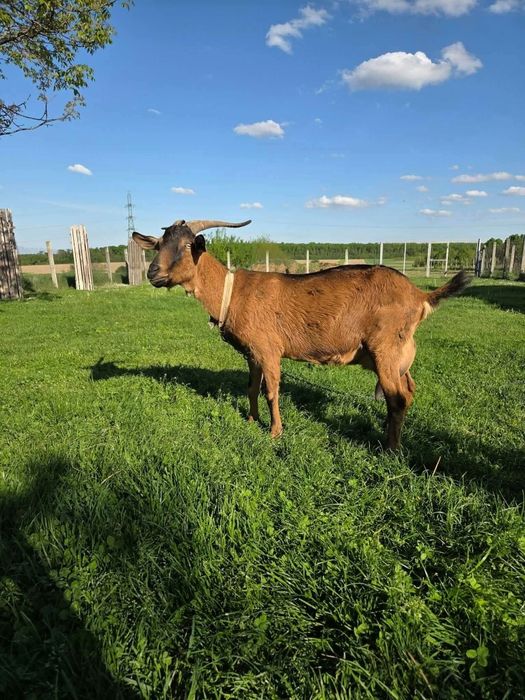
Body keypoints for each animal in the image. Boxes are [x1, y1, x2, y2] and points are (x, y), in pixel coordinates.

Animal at [133, 219, 470, 449]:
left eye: (187, 247)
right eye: (159, 244)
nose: (152, 273)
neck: (232, 292)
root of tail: (420, 295)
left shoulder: (269, 349)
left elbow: (271, 392)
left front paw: (274, 432)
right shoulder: (252, 353)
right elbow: (251, 389)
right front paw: (251, 420)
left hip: (385, 347)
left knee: (397, 398)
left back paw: (390, 449)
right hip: (401, 354)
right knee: (407, 391)